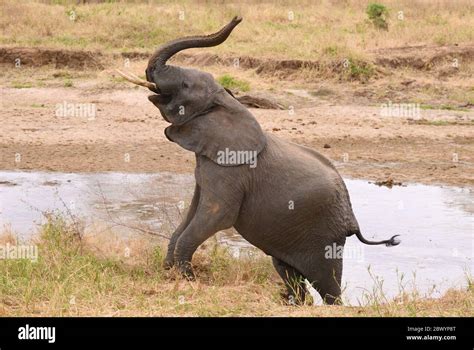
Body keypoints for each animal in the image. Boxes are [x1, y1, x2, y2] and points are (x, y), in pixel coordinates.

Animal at [118, 16, 400, 304]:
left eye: (185, 86)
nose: (237, 17)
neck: (228, 101)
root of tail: (352, 219)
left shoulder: (231, 173)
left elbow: (216, 216)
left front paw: (187, 279)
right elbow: (191, 212)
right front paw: (169, 272)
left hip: (326, 234)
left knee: (328, 284)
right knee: (288, 271)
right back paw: (295, 303)